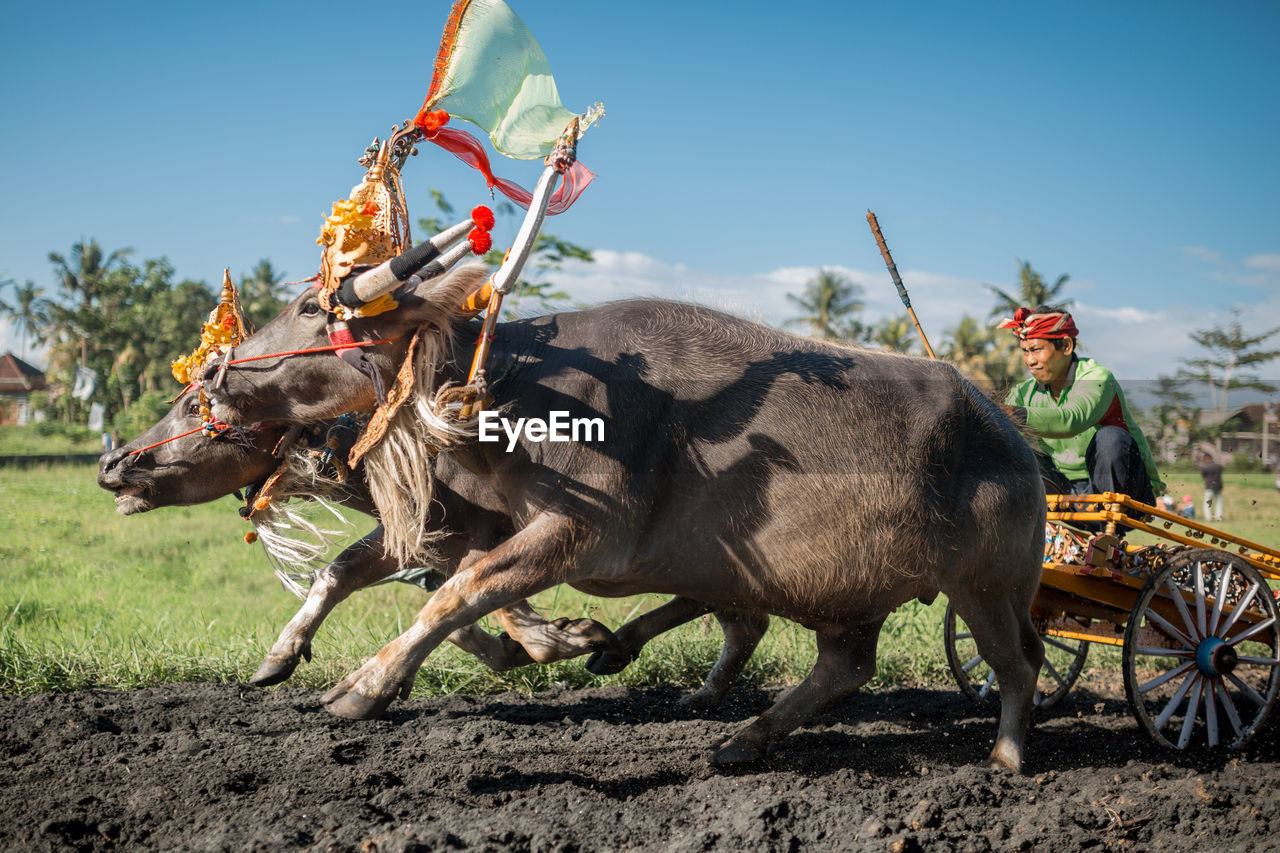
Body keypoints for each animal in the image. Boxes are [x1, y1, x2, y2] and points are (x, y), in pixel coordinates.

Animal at [97, 386, 757, 701]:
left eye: (194, 406)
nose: (111, 462)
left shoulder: (488, 536)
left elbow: (484, 600)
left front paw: (562, 638)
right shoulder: (410, 536)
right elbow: (339, 574)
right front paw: (280, 656)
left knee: (736, 615)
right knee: (732, 614)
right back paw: (653, 664)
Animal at [209, 267, 1044, 768]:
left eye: (312, 308)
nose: (214, 372)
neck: (509, 400)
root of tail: (1007, 431)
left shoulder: (578, 532)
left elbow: (461, 590)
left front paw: (367, 684)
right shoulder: (478, 525)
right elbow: (407, 579)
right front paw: (288, 659)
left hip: (987, 585)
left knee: (1018, 662)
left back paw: (1005, 756)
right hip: (848, 592)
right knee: (844, 665)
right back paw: (739, 737)